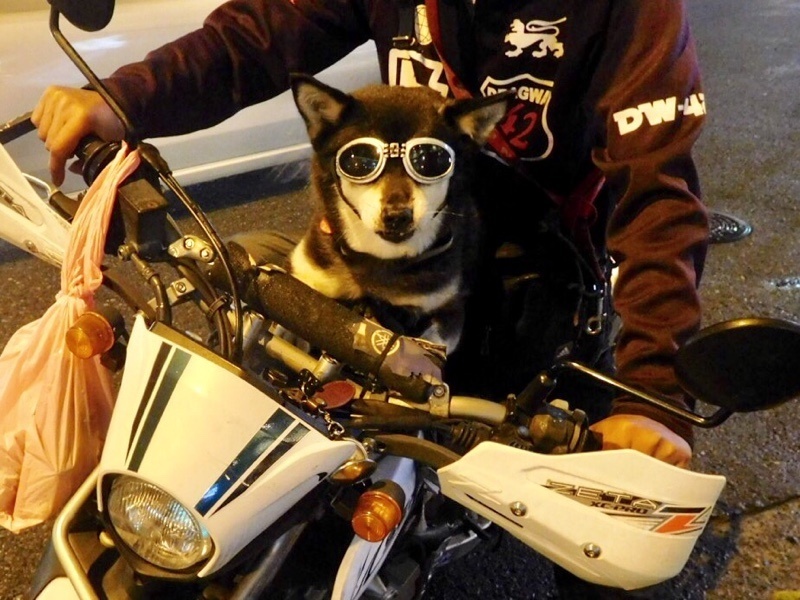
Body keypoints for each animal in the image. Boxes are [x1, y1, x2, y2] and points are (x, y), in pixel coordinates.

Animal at [287, 74, 509, 354]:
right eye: (359, 161)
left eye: (430, 161)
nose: (397, 215)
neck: (380, 262)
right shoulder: (306, 274)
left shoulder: (448, 309)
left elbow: (428, 342)